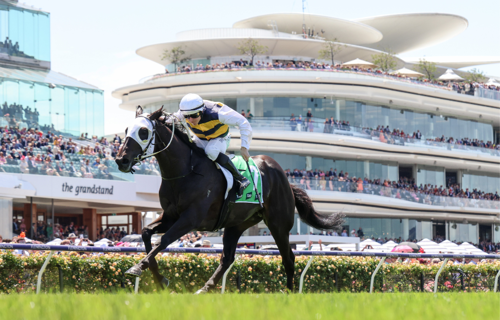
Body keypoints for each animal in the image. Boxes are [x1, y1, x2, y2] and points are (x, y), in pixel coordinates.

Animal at [115, 107, 344, 292]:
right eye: (126, 130)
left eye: (143, 132)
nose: (121, 160)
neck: (186, 171)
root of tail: (285, 179)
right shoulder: (171, 216)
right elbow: (146, 233)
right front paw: (160, 278)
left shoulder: (190, 219)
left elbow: (163, 241)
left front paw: (138, 267)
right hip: (236, 224)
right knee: (227, 258)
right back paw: (205, 288)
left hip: (279, 224)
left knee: (289, 257)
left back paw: (289, 293)